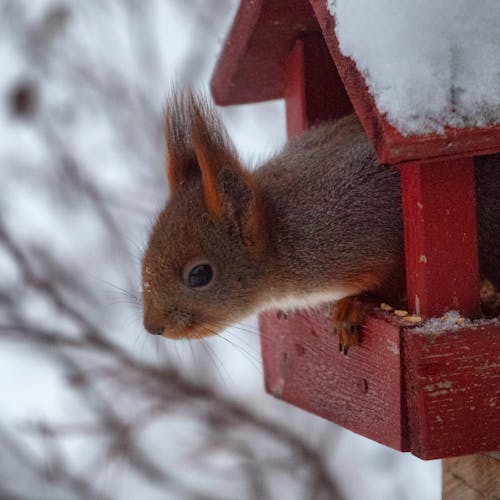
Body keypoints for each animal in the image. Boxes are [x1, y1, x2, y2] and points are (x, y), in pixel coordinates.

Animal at [141, 92, 500, 354]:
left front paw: (357, 304)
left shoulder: (368, 225)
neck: (284, 237)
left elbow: (394, 279)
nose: (153, 327)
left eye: (200, 275)